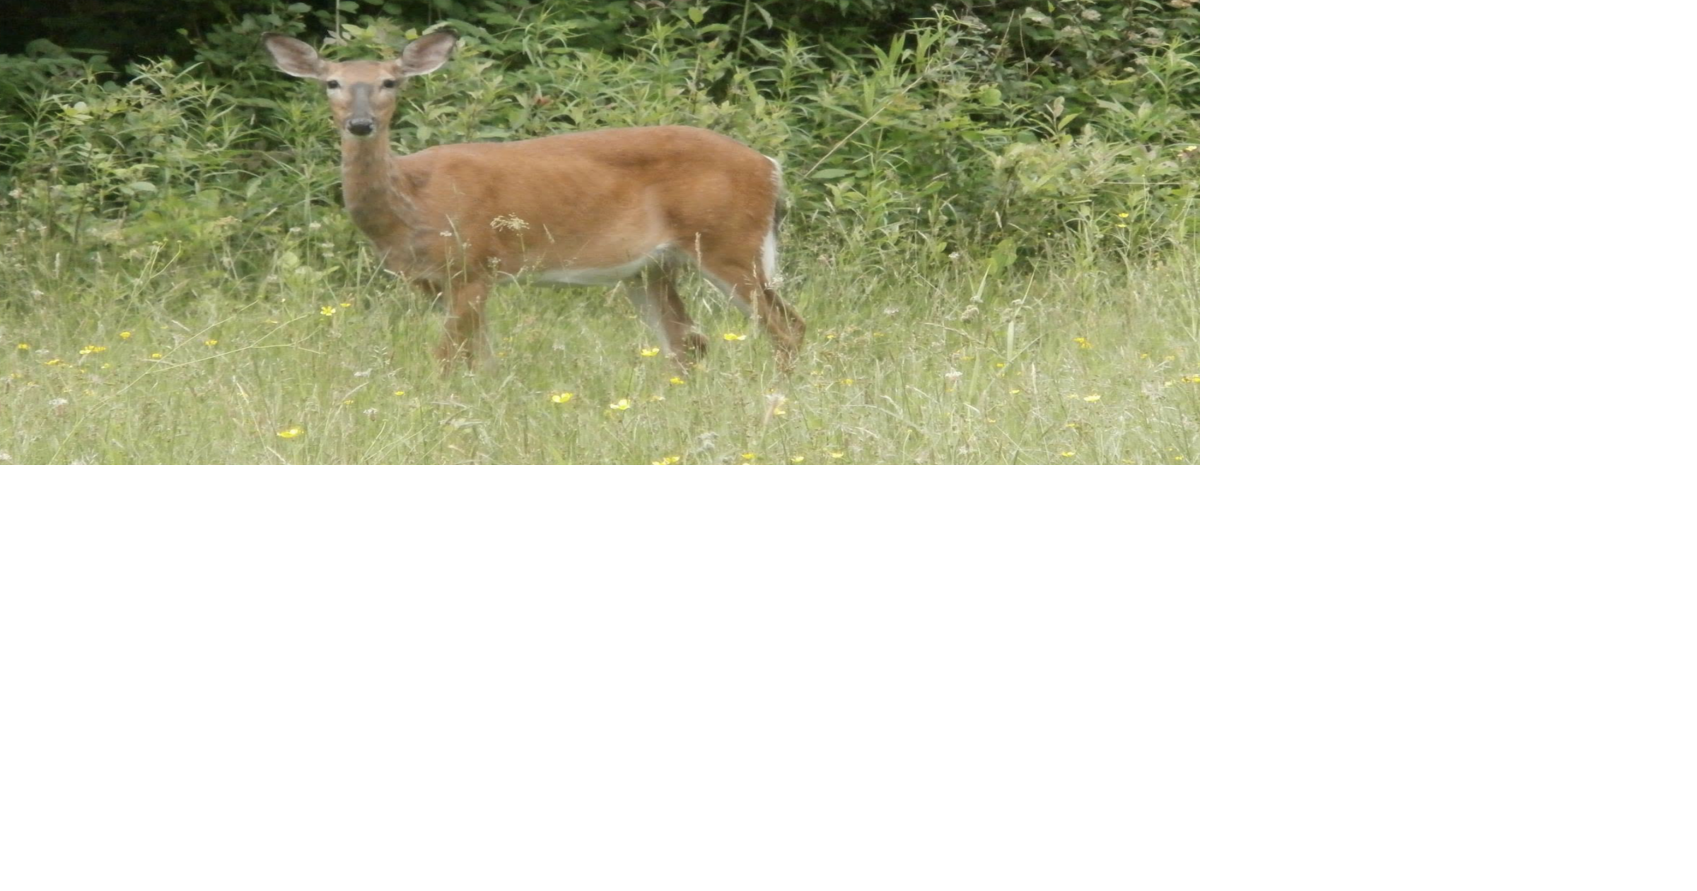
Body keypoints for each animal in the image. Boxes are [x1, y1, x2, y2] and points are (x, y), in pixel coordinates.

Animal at [260, 29, 804, 372]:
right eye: (331, 82)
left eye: (389, 81)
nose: (360, 123)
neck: (414, 201)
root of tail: (770, 167)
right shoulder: (431, 282)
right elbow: (481, 360)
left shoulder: (473, 264)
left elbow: (449, 359)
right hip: (650, 267)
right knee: (689, 341)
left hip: (728, 240)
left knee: (786, 327)